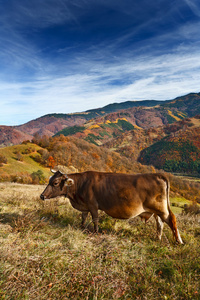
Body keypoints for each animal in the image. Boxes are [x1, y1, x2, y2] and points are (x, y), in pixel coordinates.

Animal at [40, 169, 183, 244]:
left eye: (55, 182)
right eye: (49, 180)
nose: (42, 196)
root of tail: (158, 174)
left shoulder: (93, 205)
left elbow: (95, 219)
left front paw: (95, 232)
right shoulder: (85, 206)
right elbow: (83, 218)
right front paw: (81, 228)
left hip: (162, 209)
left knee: (172, 220)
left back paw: (178, 241)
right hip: (156, 211)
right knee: (160, 224)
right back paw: (158, 238)